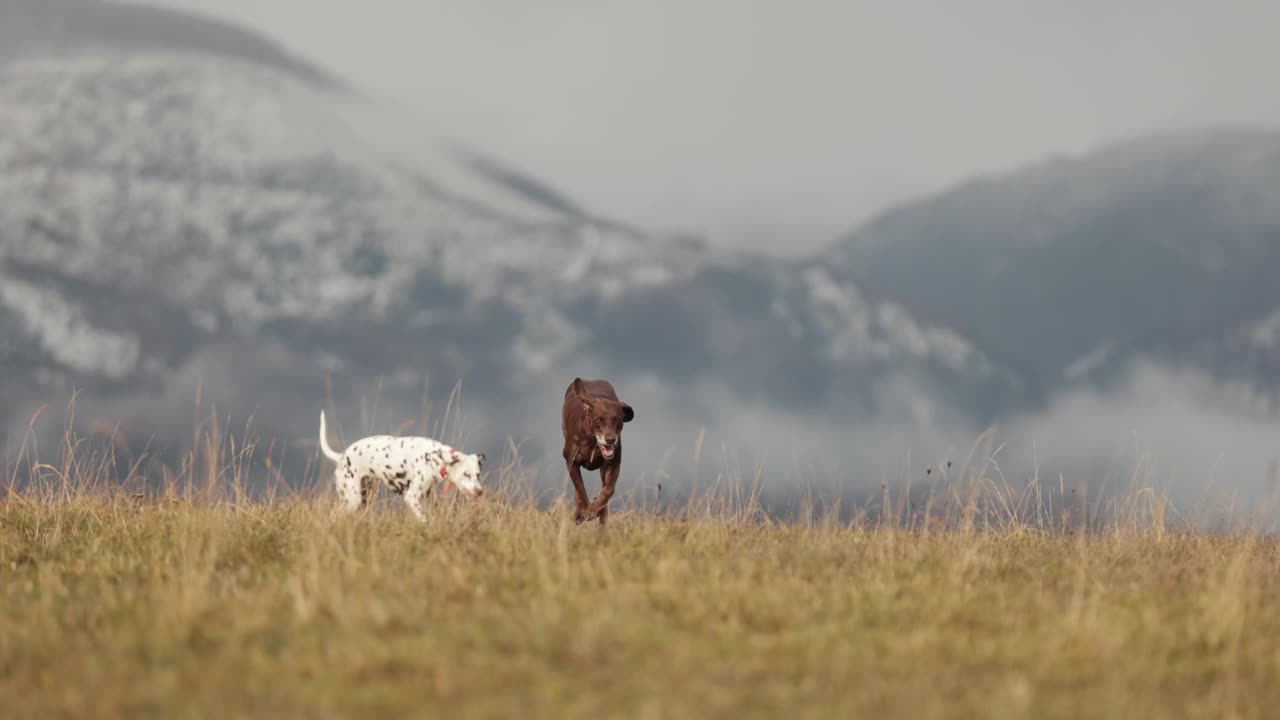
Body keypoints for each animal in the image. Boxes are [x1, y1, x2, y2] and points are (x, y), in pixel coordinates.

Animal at [318, 409, 483, 520]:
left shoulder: (429, 495)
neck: (433, 456)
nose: (480, 492)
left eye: (478, 475)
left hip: (365, 497)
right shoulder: (411, 497)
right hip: (353, 499)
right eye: (466, 474)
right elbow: (424, 519)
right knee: (334, 515)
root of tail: (341, 456)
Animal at [563, 376, 637, 520]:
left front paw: (595, 508)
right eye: (598, 419)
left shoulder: (613, 464)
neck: (592, 443)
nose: (610, 440)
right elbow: (580, 487)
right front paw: (585, 511)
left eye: (618, 420)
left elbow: (609, 490)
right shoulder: (570, 460)